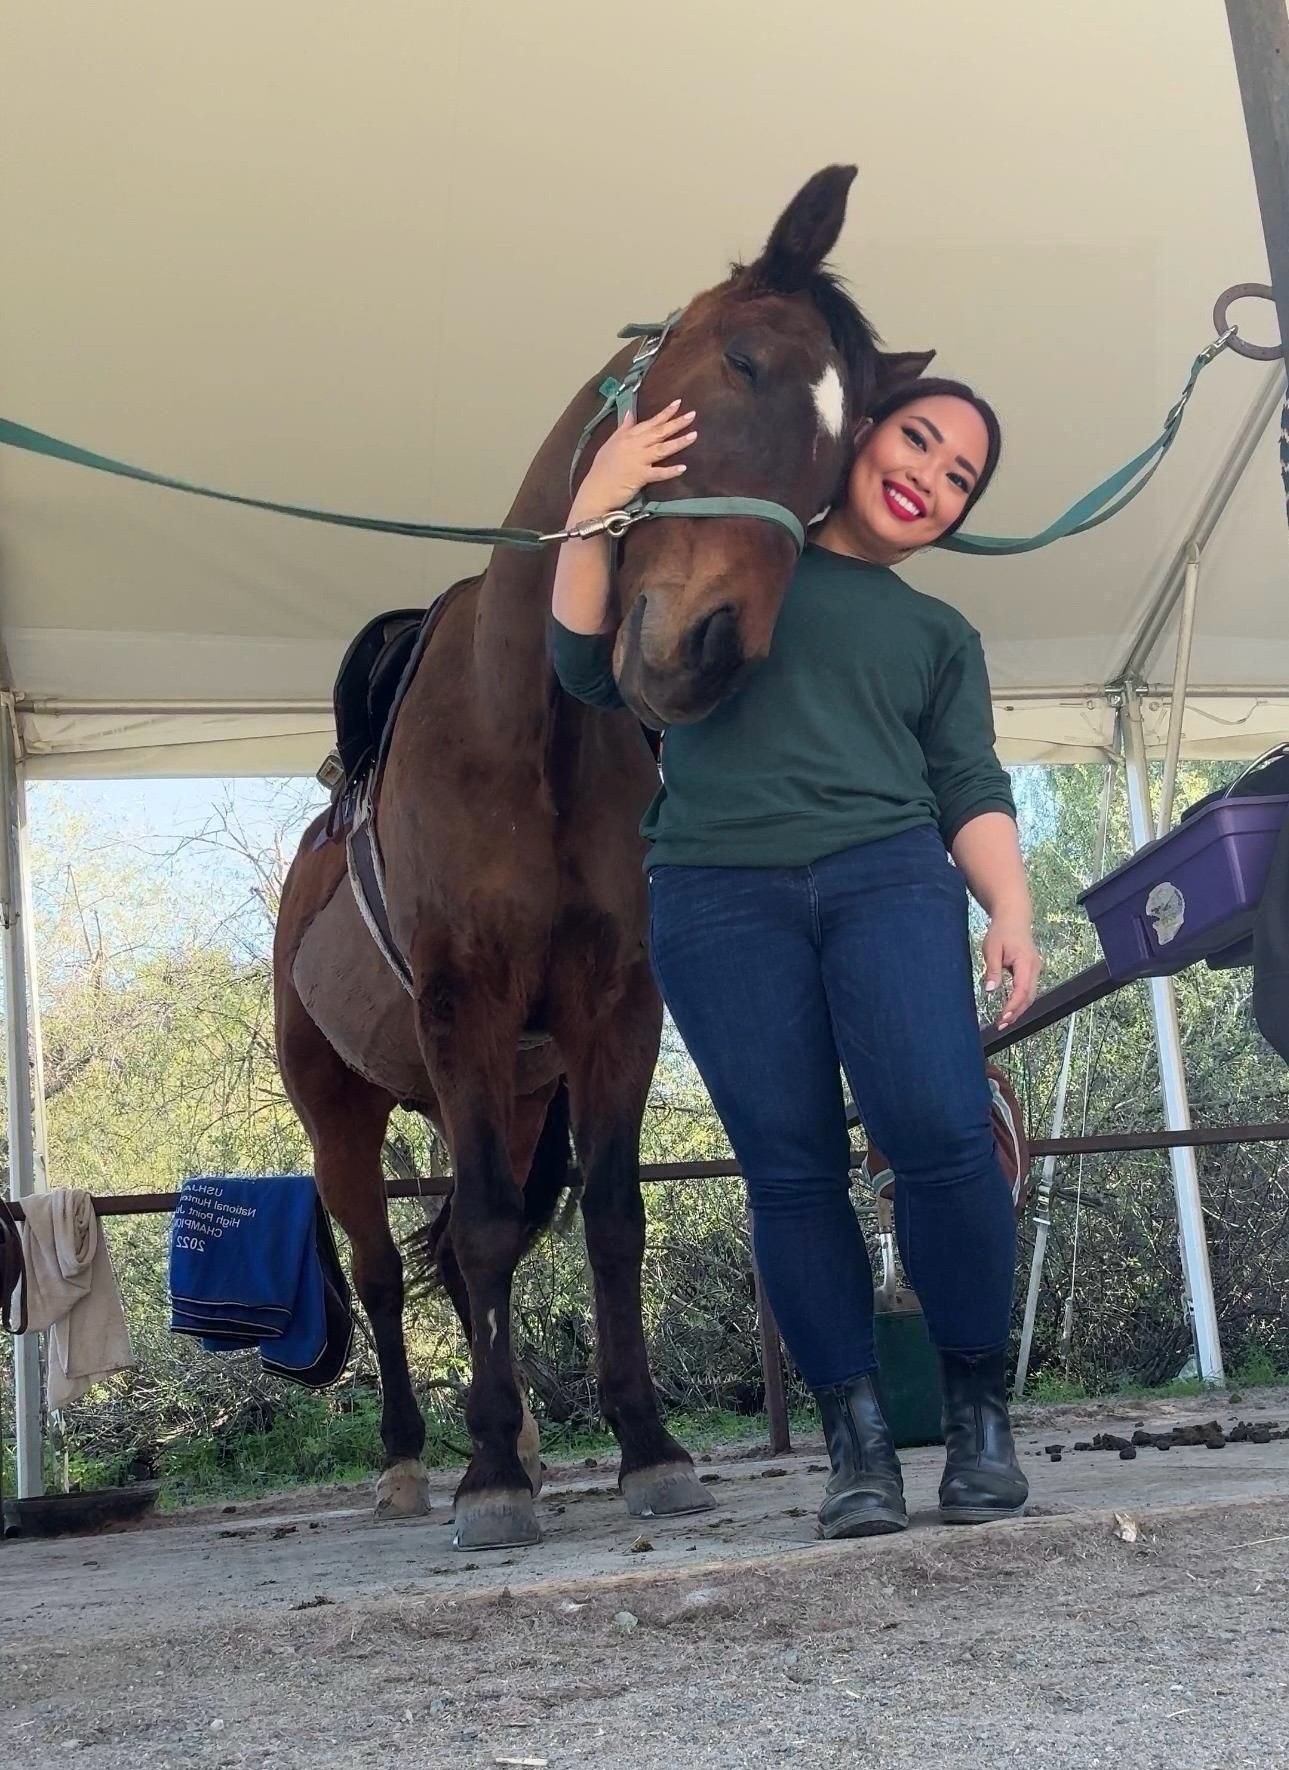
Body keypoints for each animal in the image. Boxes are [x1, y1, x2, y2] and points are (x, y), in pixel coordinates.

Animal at [273, 164, 932, 1550]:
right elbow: (468, 1229)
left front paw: (642, 1446)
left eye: (839, 467)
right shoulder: (464, 1004)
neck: (524, 729)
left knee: (491, 1242)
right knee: (383, 1268)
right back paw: (415, 1459)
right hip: (342, 1111)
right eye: (738, 360)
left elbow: (610, 1223)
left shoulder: (615, 1008)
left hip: (509, 1093)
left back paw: (515, 1429)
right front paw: (488, 1480)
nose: (705, 654)